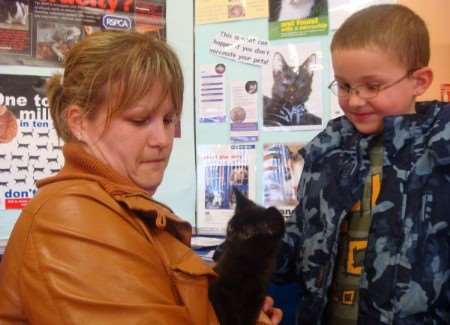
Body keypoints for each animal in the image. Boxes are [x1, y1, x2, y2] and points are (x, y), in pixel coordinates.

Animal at [210, 189, 284, 322]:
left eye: (246, 234)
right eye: (231, 227)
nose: (229, 239)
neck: (247, 265)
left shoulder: (256, 299)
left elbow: (248, 318)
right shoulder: (218, 287)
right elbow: (224, 314)